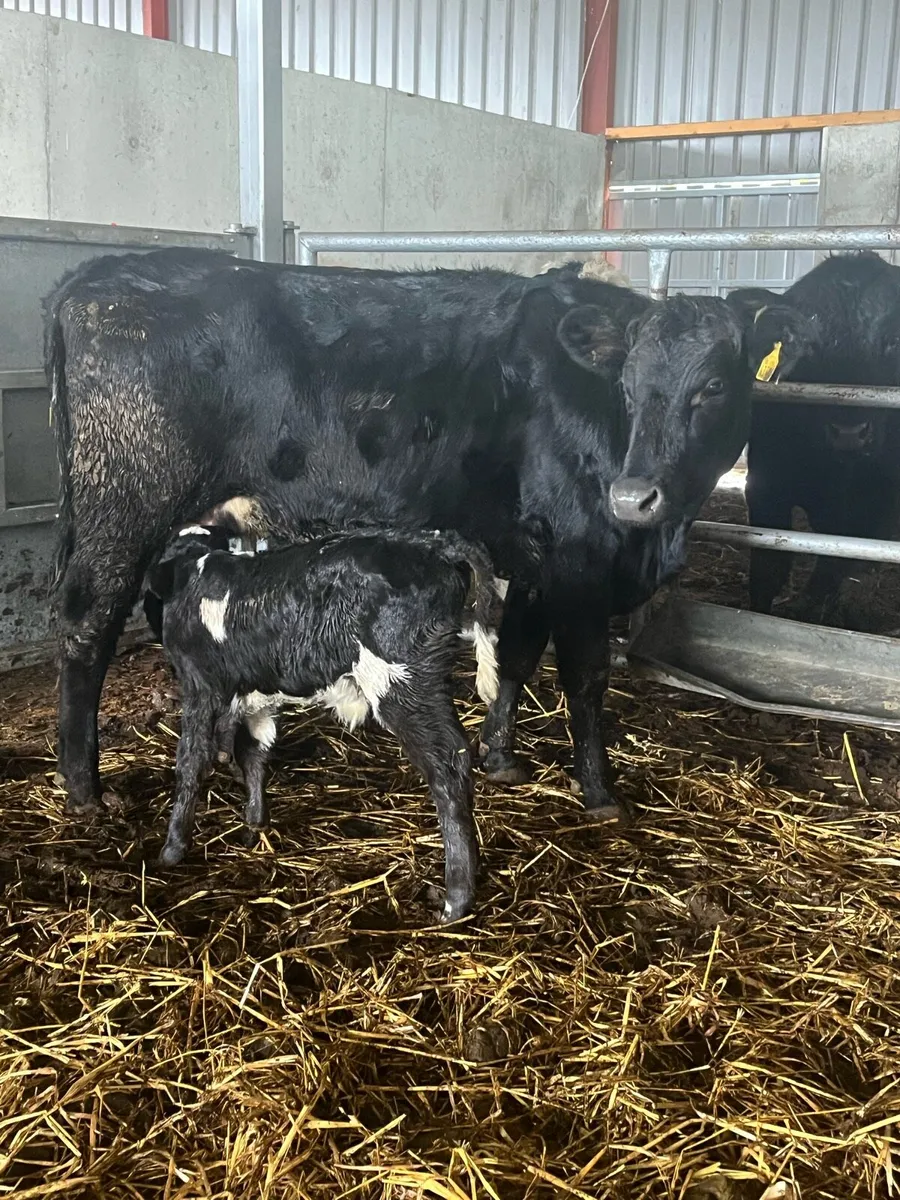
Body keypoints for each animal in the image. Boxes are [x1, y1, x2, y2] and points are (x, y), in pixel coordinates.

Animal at [45, 249, 763, 827]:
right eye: (629, 387)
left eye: (716, 385)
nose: (633, 494)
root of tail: (100, 272)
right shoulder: (581, 557)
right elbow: (584, 680)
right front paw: (600, 793)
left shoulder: (535, 558)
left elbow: (518, 655)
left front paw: (501, 756)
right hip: (123, 509)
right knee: (88, 628)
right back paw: (86, 791)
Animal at [142, 516, 500, 922]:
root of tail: (432, 542)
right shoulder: (256, 692)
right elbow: (254, 751)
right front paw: (254, 822)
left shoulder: (199, 689)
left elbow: (190, 762)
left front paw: (172, 849)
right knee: (459, 758)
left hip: (402, 683)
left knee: (447, 768)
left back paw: (456, 899)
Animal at [727, 253, 900, 616]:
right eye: (810, 348)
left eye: (894, 341)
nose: (849, 432)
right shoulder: (766, 486)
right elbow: (768, 568)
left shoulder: (878, 502)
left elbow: (837, 569)